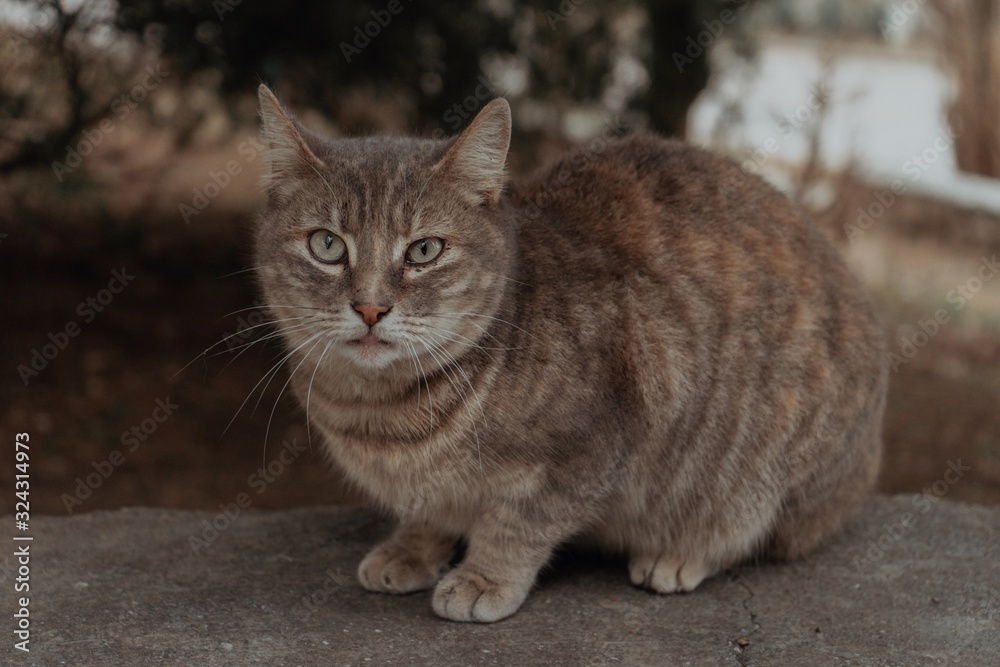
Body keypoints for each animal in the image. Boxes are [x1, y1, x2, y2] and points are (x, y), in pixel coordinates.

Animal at [254, 85, 888, 628]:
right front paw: (411, 547)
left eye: (425, 251)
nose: (369, 308)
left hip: (763, 472)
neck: (379, 413)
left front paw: (484, 578)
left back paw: (678, 554)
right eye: (327, 245)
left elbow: (518, 524)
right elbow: (428, 511)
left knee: (750, 533)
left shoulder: (586, 452)